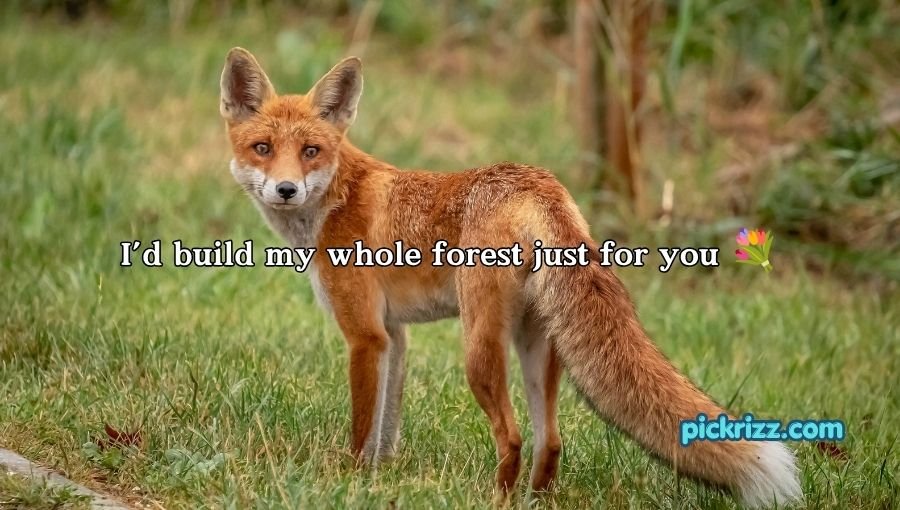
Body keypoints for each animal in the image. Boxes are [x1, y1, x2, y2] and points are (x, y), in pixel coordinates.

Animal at [219, 47, 803, 508]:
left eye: (311, 151)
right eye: (263, 149)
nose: (287, 190)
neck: (334, 201)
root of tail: (538, 182)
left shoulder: (365, 336)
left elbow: (364, 429)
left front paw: (352, 481)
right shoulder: (394, 336)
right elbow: (387, 427)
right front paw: (379, 481)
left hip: (479, 349)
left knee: (514, 437)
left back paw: (495, 498)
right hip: (537, 346)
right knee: (551, 441)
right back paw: (536, 499)